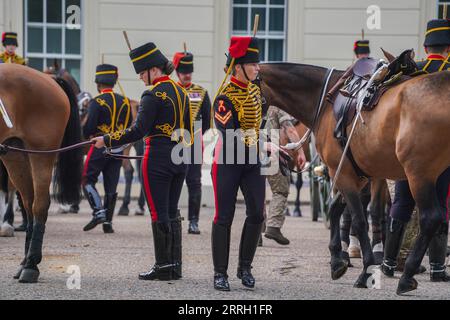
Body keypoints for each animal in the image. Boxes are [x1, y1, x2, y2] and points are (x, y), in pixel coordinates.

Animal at [0, 63, 82, 284]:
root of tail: (49, 79)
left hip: (41, 154)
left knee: (39, 205)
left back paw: (31, 266)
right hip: (15, 154)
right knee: (28, 204)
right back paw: (25, 261)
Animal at [260, 63, 450, 296]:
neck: (325, 99)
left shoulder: (344, 174)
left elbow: (359, 220)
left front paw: (366, 270)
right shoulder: (353, 175)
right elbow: (336, 209)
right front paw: (337, 260)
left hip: (419, 175)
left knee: (430, 218)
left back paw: (407, 276)